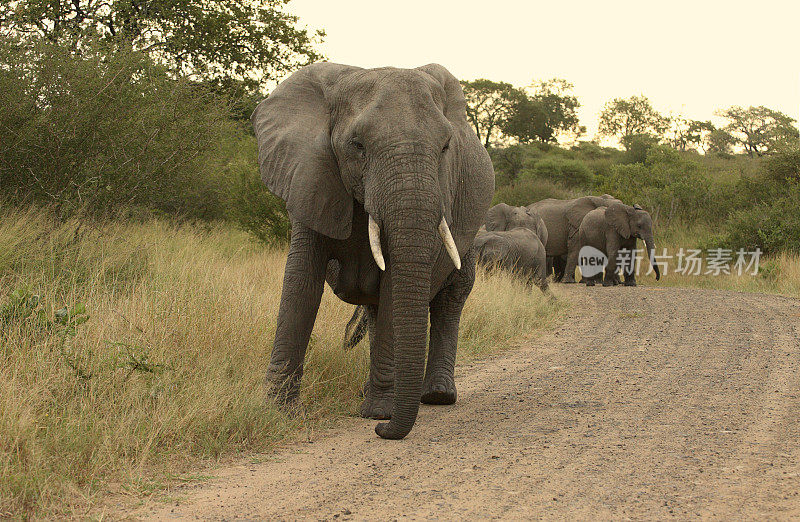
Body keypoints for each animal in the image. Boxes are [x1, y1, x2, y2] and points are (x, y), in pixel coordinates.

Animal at [253, 62, 494, 438]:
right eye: (357, 146)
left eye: (445, 147)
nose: (383, 432)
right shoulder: (310, 176)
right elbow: (301, 285)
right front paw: (278, 411)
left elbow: (395, 286)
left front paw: (379, 414)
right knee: (378, 309)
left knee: (450, 297)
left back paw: (435, 396)